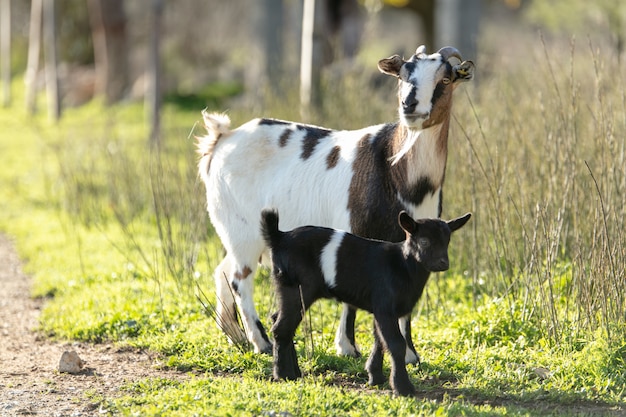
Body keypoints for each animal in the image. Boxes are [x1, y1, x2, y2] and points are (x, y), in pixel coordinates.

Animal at [196, 44, 472, 358]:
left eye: (445, 79)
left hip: (234, 232)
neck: (397, 172)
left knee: (222, 271)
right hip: (242, 229)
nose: (410, 105)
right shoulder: (352, 231)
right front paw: (347, 347)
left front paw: (411, 355)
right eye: (403, 75)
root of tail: (222, 138)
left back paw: (237, 337)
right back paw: (261, 342)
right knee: (240, 278)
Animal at [258, 208, 468, 396]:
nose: (443, 263)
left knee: (280, 320)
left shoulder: (382, 308)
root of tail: (279, 236)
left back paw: (294, 371)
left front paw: (376, 377)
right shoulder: (385, 308)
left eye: (447, 240)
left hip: (288, 290)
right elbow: (396, 344)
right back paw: (284, 375)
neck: (403, 264)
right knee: (282, 327)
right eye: (424, 241)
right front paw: (403, 388)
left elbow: (380, 340)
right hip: (297, 288)